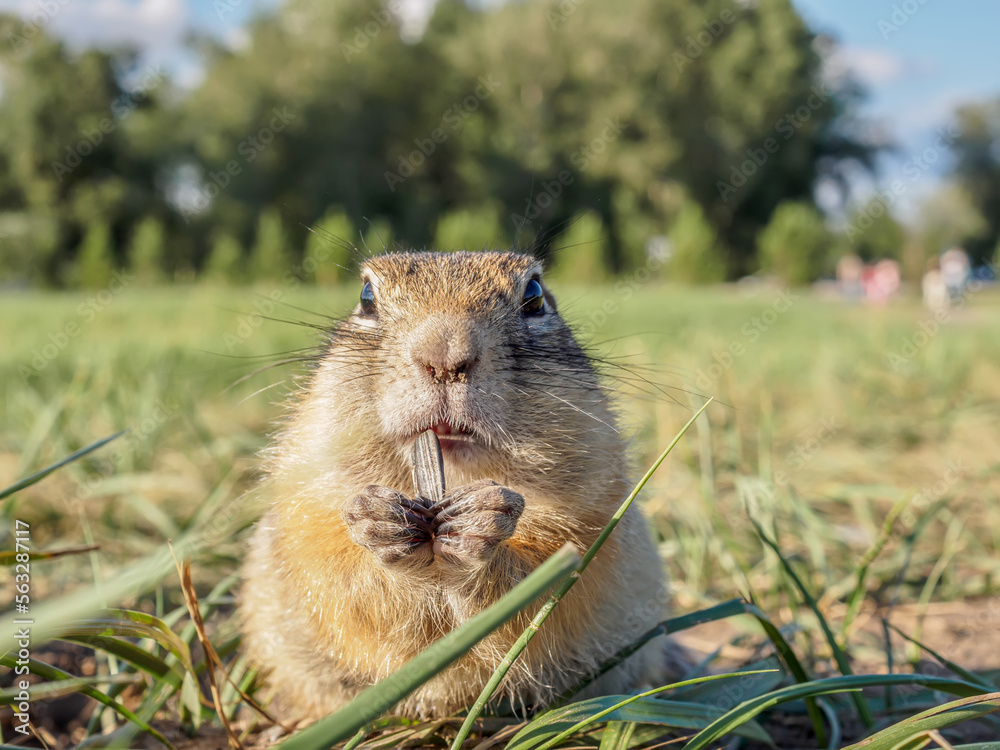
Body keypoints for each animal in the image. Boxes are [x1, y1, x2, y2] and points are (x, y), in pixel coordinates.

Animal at [242, 250, 680, 720]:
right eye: (366, 297)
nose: (445, 355)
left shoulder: (591, 508)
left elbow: (544, 582)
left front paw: (482, 524)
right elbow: (345, 582)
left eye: (534, 296)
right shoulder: (306, 506)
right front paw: (379, 523)